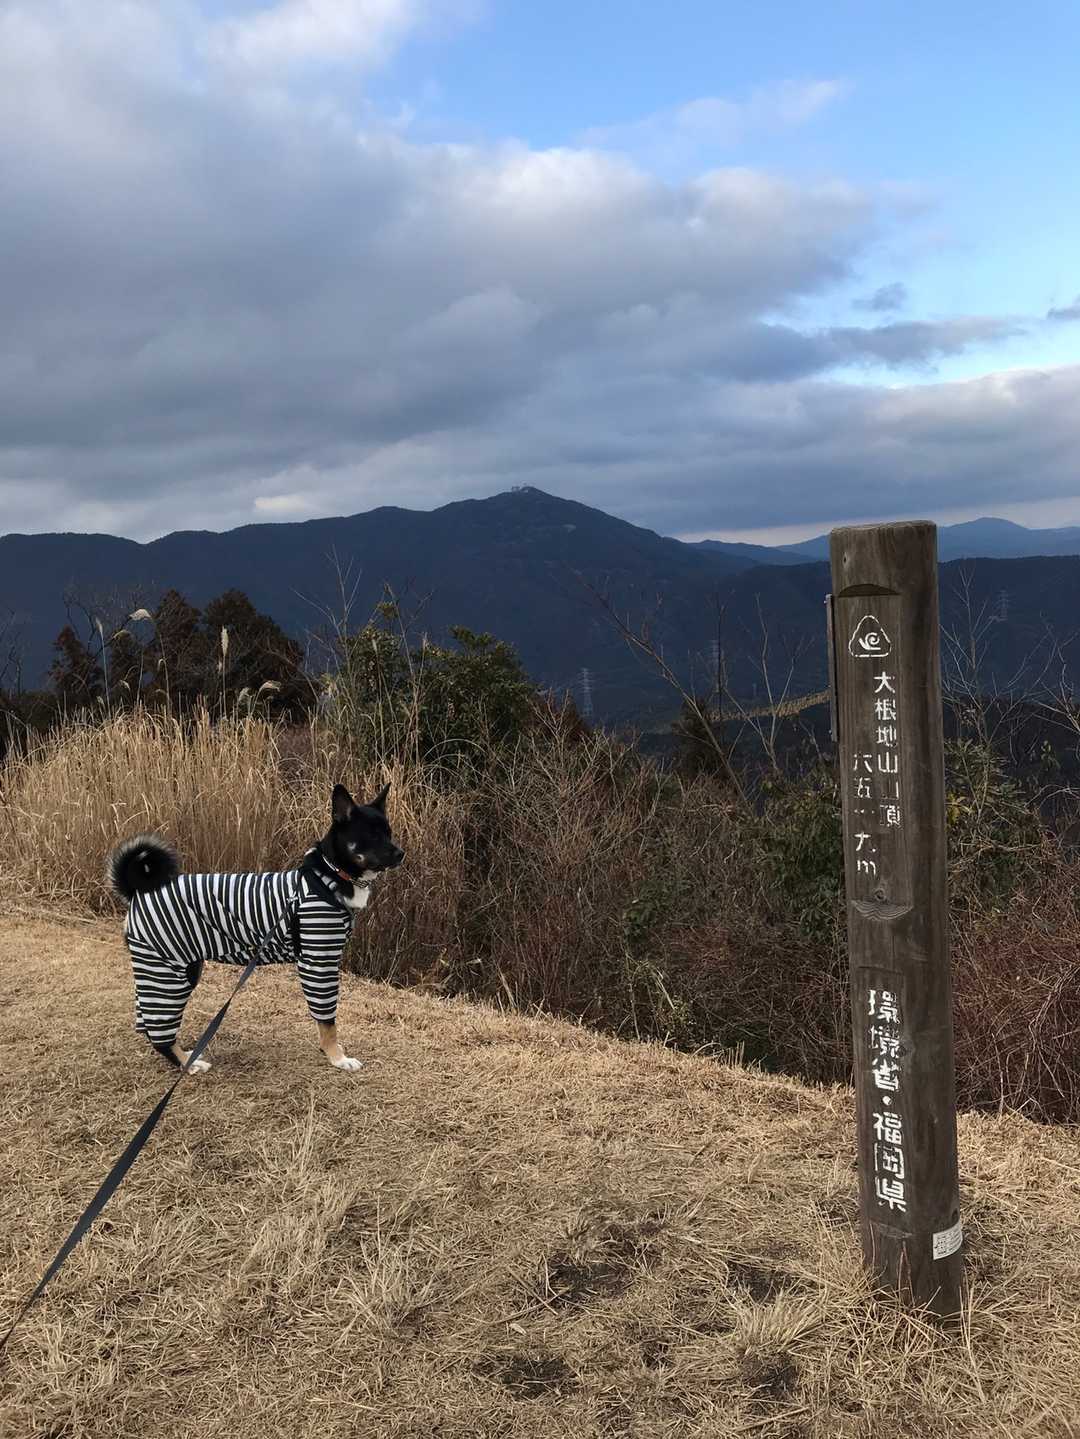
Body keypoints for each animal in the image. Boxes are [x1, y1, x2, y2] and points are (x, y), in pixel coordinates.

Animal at [108, 782, 404, 1074]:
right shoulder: (319, 962)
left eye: (388, 833)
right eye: (371, 836)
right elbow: (327, 1021)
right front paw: (337, 1057)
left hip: (174, 968)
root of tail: (136, 891)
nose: (400, 853)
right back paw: (187, 1064)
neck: (330, 876)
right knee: (159, 1030)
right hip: (166, 973)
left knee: (146, 1023)